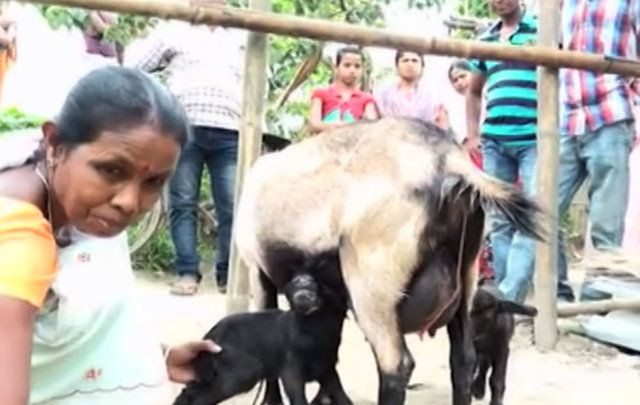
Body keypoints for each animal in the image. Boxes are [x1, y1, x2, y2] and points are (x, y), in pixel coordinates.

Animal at [174, 272, 350, 404]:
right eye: (293, 285)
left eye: (312, 282)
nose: (302, 293)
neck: (313, 330)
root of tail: (211, 334)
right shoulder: (291, 371)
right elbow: (299, 399)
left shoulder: (327, 369)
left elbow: (342, 397)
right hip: (243, 372)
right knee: (197, 397)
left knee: (190, 391)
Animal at [232, 117, 544, 404]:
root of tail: (448, 159)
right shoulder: (332, 297)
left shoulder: (257, 271)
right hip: (465, 281)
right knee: (463, 358)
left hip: (372, 287)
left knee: (396, 365)